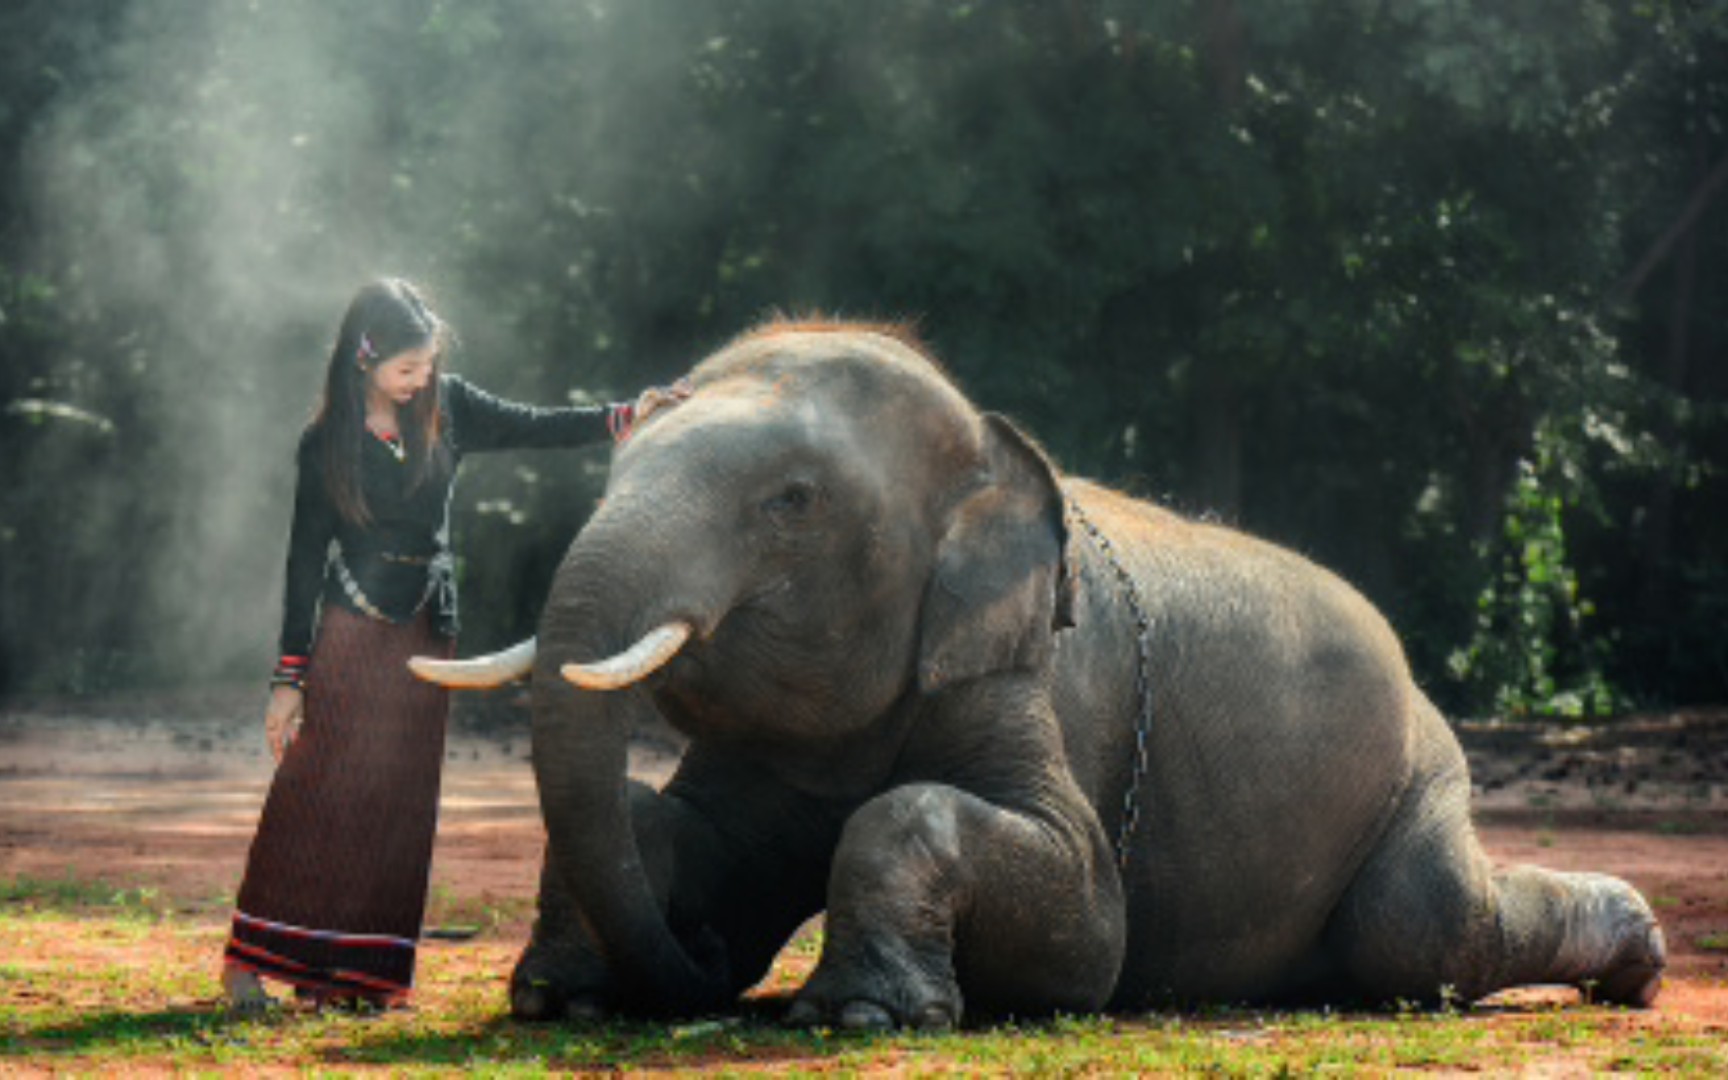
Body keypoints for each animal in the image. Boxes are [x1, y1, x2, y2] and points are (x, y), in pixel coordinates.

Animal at [411, 319, 1665, 1029]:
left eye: (791, 502)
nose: (705, 964)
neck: (986, 445)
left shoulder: (1019, 684)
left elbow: (1085, 930)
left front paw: (857, 1017)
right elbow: (674, 830)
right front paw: (563, 999)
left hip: (1421, 781)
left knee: (1424, 932)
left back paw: (1641, 958)